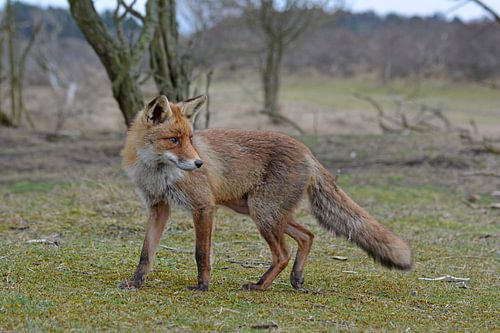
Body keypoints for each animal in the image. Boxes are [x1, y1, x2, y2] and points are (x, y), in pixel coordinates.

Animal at [119, 94, 412, 290]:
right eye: (173, 140)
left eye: (190, 139)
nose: (199, 163)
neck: (158, 173)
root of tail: (307, 151)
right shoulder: (158, 207)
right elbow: (146, 253)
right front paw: (135, 283)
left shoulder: (203, 206)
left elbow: (201, 253)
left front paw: (202, 286)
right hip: (260, 211)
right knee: (307, 235)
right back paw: (296, 278)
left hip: (263, 213)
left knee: (283, 253)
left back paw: (260, 285)